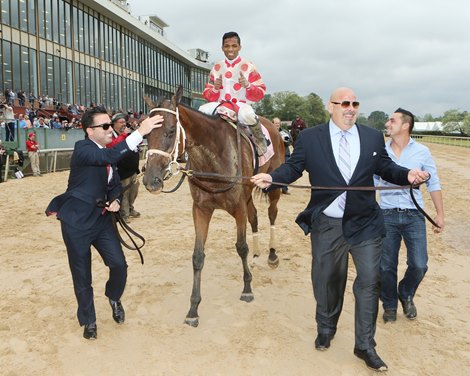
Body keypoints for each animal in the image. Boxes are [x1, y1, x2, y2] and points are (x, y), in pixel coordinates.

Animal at [142, 86, 282, 326]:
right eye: (146, 134)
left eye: (171, 131)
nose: (151, 180)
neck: (214, 160)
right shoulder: (201, 209)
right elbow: (198, 256)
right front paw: (193, 308)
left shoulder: (238, 208)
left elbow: (241, 246)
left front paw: (247, 288)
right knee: (255, 217)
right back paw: (256, 256)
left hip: (273, 186)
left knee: (272, 214)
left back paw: (272, 255)